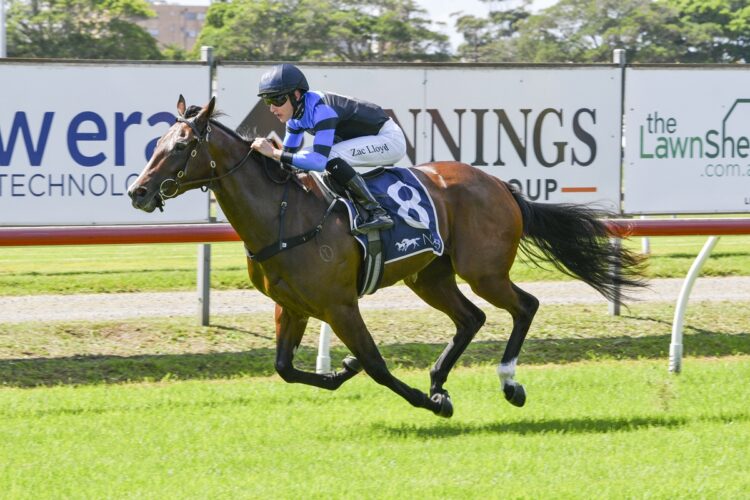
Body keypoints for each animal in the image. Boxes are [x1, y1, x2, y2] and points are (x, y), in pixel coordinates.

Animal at [128, 96, 646, 418]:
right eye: (157, 143)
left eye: (182, 145)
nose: (138, 191)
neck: (283, 214)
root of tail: (500, 184)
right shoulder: (293, 306)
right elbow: (285, 369)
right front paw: (345, 368)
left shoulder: (339, 305)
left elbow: (376, 365)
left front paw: (427, 402)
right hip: (430, 276)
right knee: (472, 318)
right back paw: (439, 378)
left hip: (483, 270)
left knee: (525, 306)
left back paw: (506, 382)